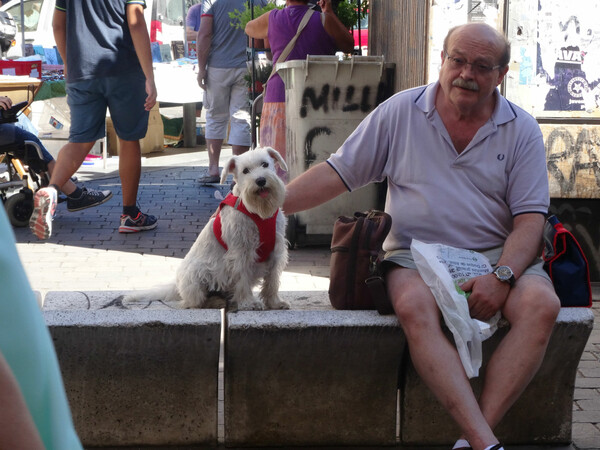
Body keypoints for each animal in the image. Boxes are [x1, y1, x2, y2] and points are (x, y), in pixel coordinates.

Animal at [123, 146, 288, 312]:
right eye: (245, 171)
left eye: (265, 164)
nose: (260, 180)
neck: (258, 213)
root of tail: (177, 284)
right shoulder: (241, 252)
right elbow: (243, 279)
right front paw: (248, 303)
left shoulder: (276, 251)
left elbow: (272, 281)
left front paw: (274, 302)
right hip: (197, 276)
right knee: (192, 303)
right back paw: (214, 302)